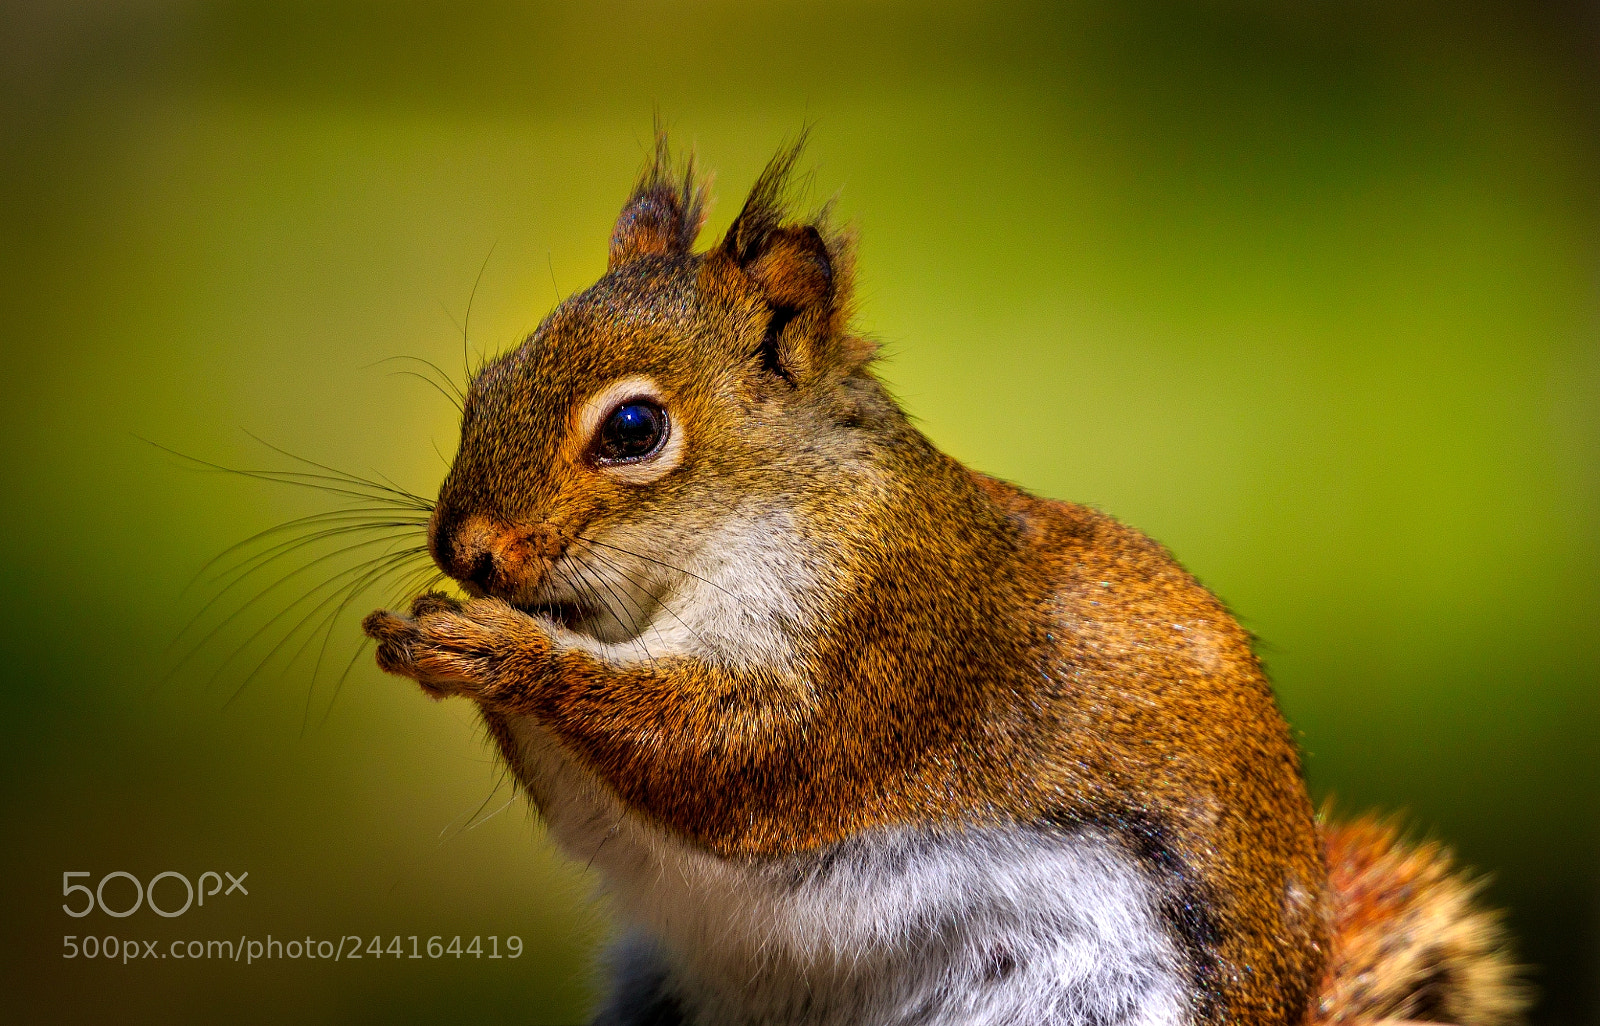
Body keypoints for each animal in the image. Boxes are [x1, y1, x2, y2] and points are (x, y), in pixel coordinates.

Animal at [361, 134, 1525, 1026]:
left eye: (635, 428)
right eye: (488, 383)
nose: (468, 552)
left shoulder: (887, 627)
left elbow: (730, 753)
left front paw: (492, 646)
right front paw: (435, 629)